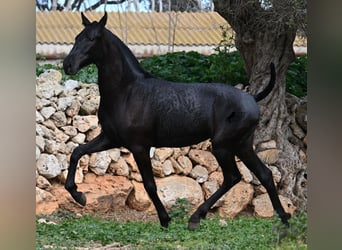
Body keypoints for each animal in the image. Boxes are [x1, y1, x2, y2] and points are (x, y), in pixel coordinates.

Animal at [62, 12, 290, 230]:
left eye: (93, 38)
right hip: (241, 145)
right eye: (77, 37)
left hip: (223, 146)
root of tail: (252, 98)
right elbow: (76, 152)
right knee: (265, 174)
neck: (127, 91)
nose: (67, 65)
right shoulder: (110, 138)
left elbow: (150, 184)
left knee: (233, 176)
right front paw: (78, 196)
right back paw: (284, 220)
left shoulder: (139, 147)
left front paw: (165, 220)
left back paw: (196, 218)